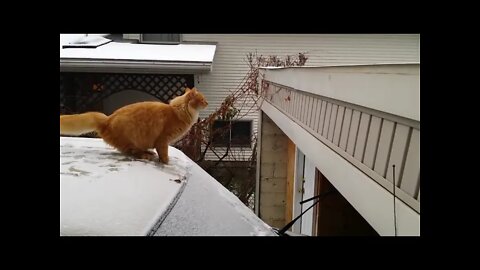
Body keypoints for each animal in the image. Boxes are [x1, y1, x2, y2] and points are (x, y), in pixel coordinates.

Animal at [60, 87, 208, 162]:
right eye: (202, 99)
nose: (207, 103)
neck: (177, 111)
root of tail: (107, 120)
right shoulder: (163, 140)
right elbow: (164, 155)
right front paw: (166, 162)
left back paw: (148, 152)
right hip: (132, 139)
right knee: (131, 152)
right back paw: (146, 155)